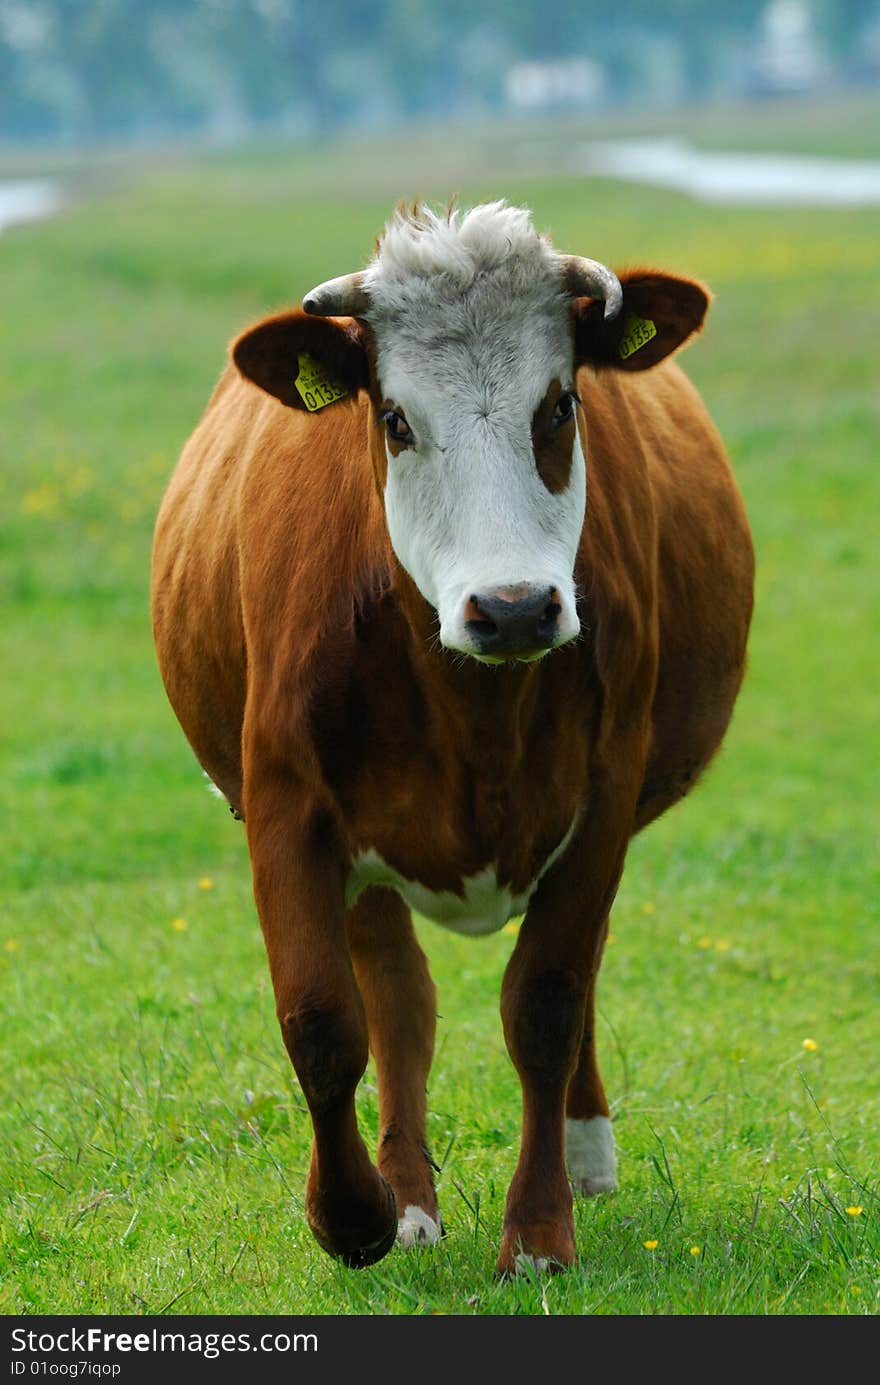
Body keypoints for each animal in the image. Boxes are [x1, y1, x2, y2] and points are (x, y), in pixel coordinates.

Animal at [153, 202, 759, 1274]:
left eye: (559, 406)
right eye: (395, 420)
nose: (512, 607)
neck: (473, 709)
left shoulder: (604, 801)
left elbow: (547, 1000)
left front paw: (541, 1228)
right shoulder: (286, 801)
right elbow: (322, 1018)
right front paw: (352, 1215)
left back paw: (585, 1148)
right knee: (399, 998)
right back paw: (407, 1197)